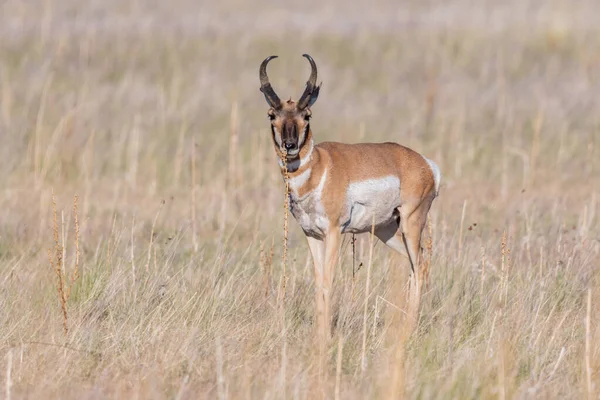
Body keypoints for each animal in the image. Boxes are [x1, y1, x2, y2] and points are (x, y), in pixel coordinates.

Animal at [258, 54, 440, 346]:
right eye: (272, 115)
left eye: (307, 115)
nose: (290, 146)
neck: (319, 167)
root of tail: (425, 164)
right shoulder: (312, 235)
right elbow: (318, 281)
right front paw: (318, 336)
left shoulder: (334, 233)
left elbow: (328, 281)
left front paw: (325, 338)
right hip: (388, 231)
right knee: (414, 267)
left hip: (412, 224)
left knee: (421, 266)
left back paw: (409, 330)